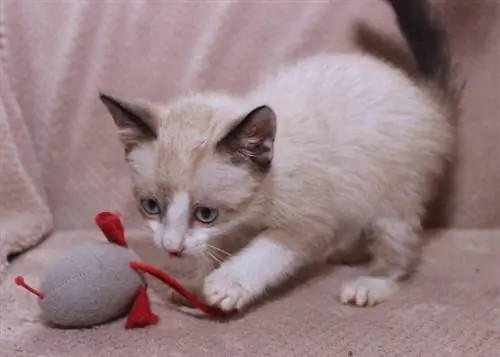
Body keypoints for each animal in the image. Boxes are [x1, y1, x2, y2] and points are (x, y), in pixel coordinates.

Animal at [99, 0, 458, 312]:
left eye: (205, 213)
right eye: (151, 206)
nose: (172, 249)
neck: (258, 203)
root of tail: (423, 95)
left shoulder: (309, 218)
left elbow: (267, 250)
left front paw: (227, 283)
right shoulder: (233, 228)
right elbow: (219, 247)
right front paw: (196, 281)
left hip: (393, 194)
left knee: (399, 250)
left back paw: (371, 282)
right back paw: (347, 252)